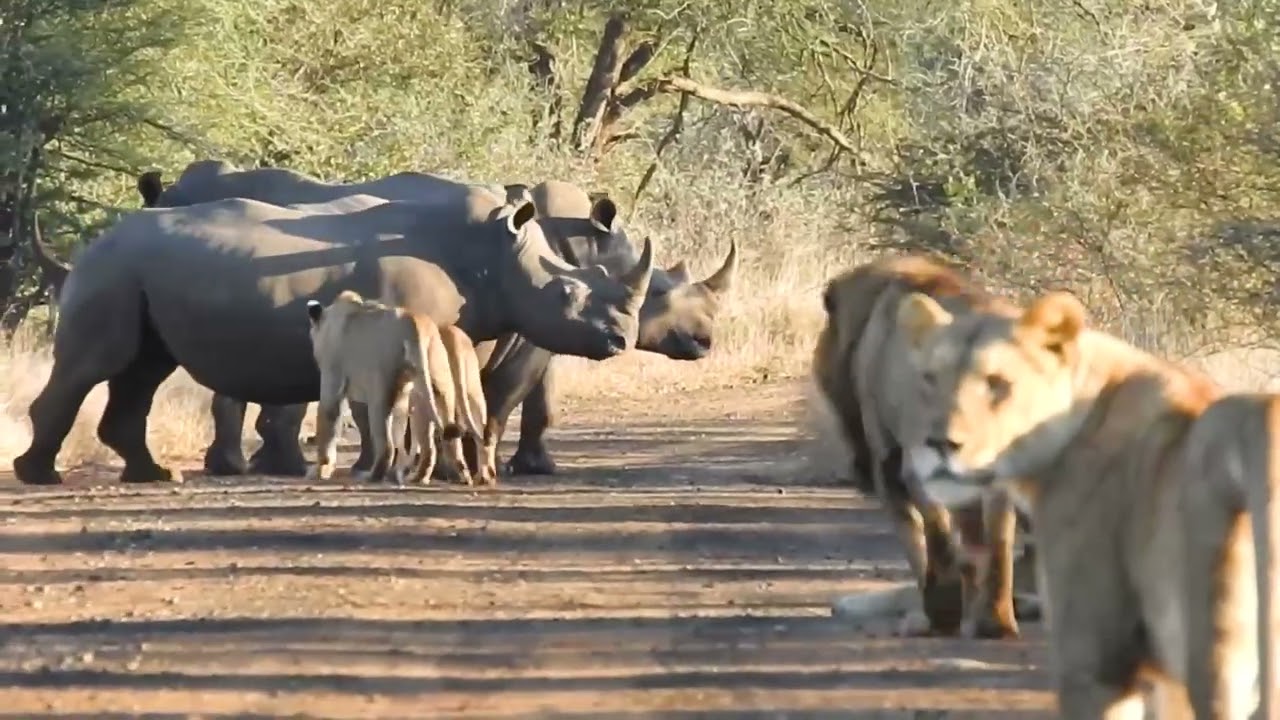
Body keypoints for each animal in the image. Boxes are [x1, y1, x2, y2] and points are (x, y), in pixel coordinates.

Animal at [305, 290, 466, 485]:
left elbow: (329, 415)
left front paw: (320, 469)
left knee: (386, 444)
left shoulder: (333, 374)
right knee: (440, 437)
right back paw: (435, 476)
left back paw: (371, 476)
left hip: (381, 387)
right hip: (437, 377)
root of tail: (412, 323)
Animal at [812, 254, 1037, 639]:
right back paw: (997, 622)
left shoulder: (887, 456)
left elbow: (917, 538)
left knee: (937, 532)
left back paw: (949, 609)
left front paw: (934, 611)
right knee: (998, 541)